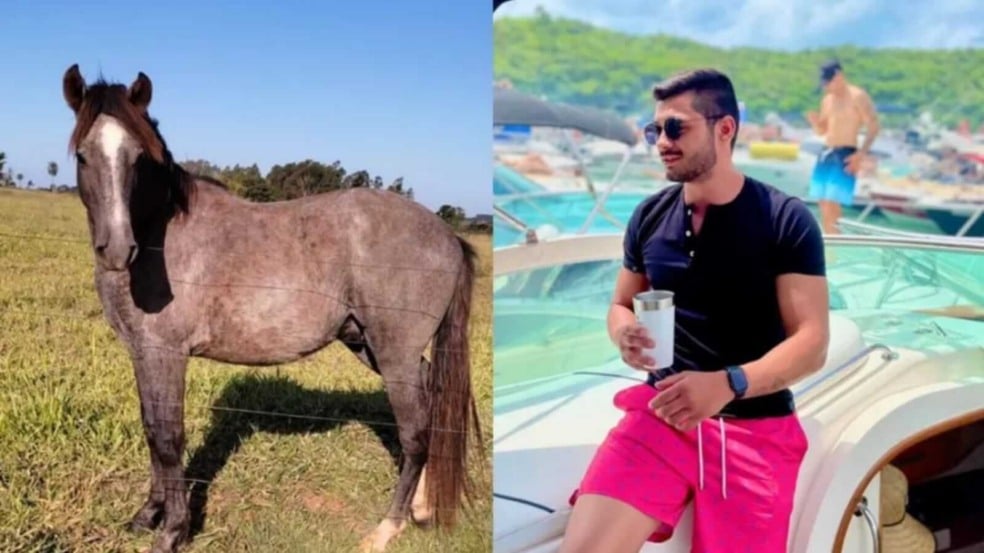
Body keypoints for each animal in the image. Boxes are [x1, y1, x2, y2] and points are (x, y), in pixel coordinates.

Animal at [61, 64, 479, 553]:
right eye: (83, 156)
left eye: (138, 159)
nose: (116, 248)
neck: (160, 237)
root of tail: (448, 235)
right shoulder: (142, 354)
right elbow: (151, 429)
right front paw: (147, 515)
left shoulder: (167, 355)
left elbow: (168, 437)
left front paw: (173, 530)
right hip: (370, 344)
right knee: (431, 398)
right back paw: (423, 507)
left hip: (394, 353)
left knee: (415, 433)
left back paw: (386, 528)